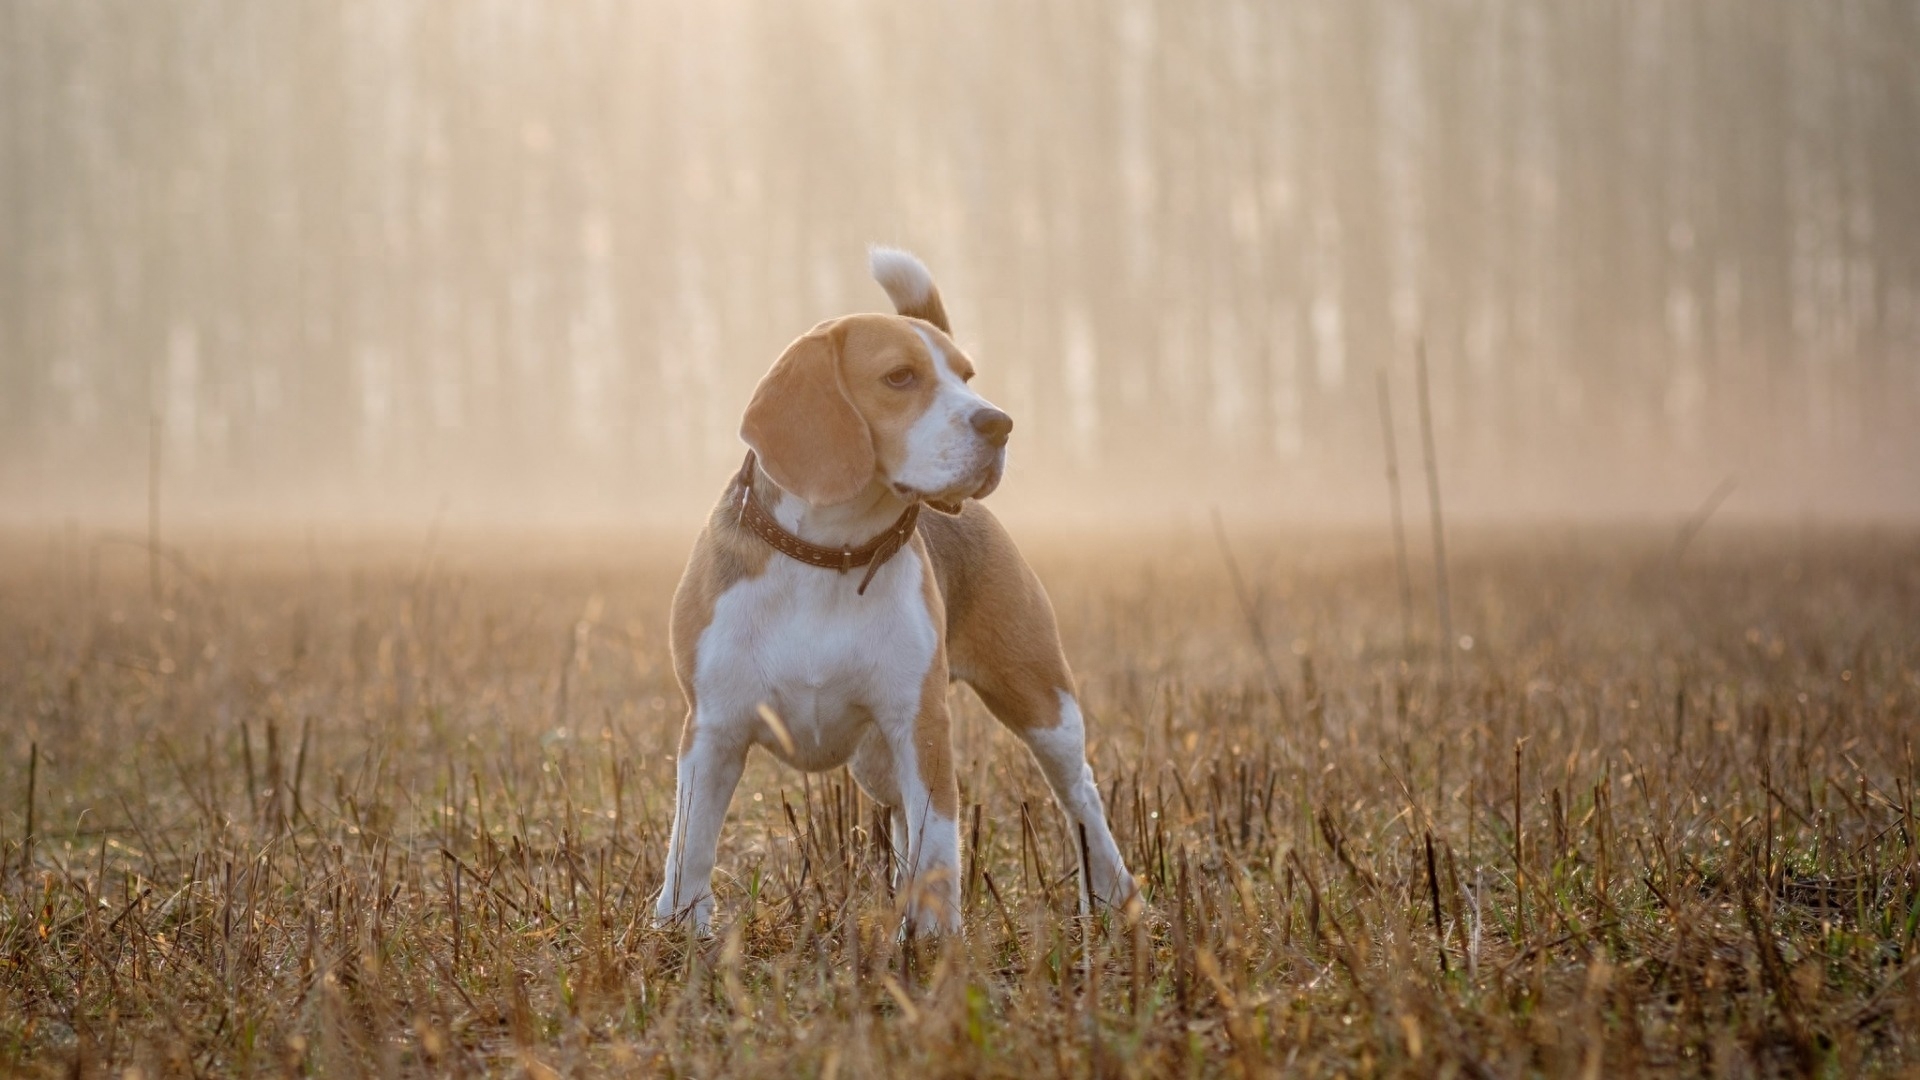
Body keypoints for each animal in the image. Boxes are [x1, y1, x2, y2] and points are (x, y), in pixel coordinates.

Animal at [664, 247, 1121, 930]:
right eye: (900, 377)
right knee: (905, 817)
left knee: (1081, 796)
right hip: (876, 758)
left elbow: (939, 847)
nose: (1000, 423)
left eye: (966, 375)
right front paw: (675, 933)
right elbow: (689, 847)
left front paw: (934, 943)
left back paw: (1113, 894)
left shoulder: (920, 725)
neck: (831, 555)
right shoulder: (713, 730)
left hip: (1042, 703)